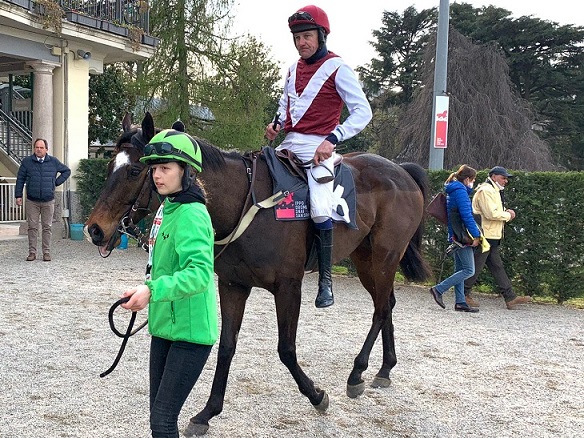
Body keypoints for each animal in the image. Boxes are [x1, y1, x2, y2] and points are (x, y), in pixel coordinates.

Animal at [88, 112, 434, 434]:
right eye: (108, 166)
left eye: (134, 170)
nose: (95, 229)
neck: (248, 205)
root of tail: (402, 170)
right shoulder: (233, 285)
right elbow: (226, 346)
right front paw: (207, 413)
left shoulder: (289, 287)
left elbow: (286, 349)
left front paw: (316, 395)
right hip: (366, 259)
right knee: (387, 304)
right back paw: (384, 369)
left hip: (384, 257)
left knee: (380, 310)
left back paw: (357, 371)